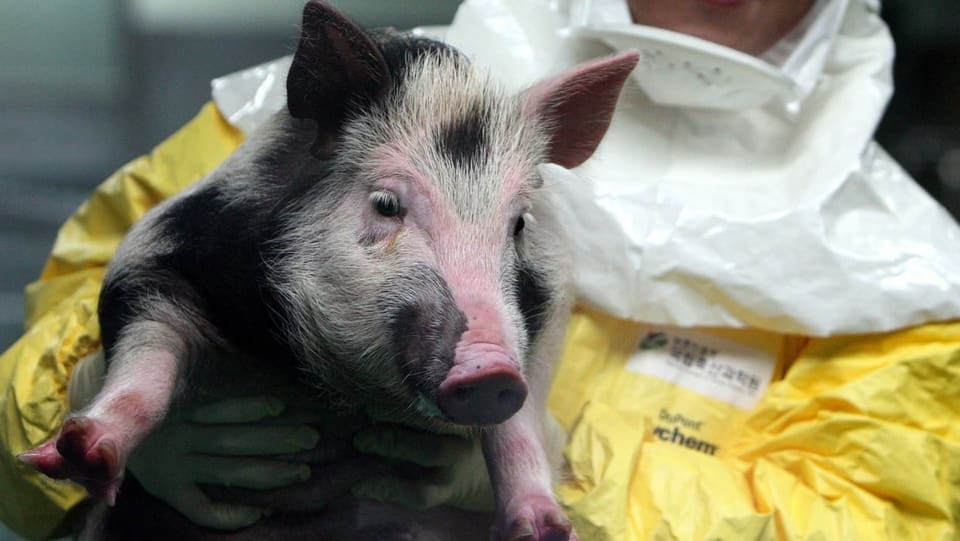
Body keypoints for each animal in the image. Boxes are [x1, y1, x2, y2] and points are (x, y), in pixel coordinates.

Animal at [18, 2, 638, 540]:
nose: (489, 370)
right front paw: (71, 456)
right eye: (386, 204)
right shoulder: (155, 256)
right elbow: (145, 362)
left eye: (518, 224)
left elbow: (521, 426)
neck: (341, 387)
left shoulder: (539, 330)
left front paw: (549, 529)